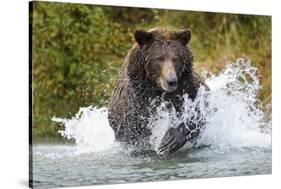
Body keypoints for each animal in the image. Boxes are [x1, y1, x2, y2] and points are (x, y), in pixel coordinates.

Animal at [107, 27, 208, 156]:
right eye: (159, 58)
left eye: (175, 58)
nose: (171, 81)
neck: (157, 88)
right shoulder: (135, 103)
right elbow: (135, 129)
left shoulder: (188, 90)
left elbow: (198, 112)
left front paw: (169, 140)